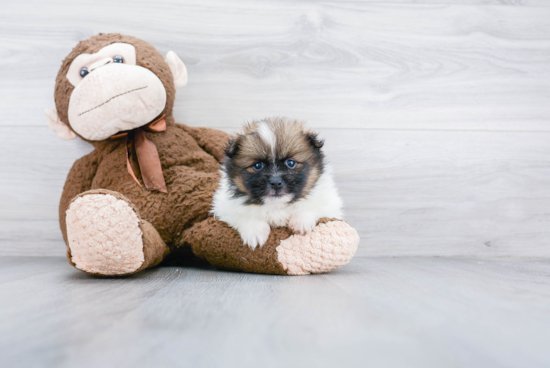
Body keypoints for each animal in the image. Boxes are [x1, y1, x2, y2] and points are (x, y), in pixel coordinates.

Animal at [212, 118, 344, 250]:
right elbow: (242, 214)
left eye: (291, 163)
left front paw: (301, 222)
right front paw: (255, 231)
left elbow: (311, 206)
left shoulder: (330, 204)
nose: (275, 183)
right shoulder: (224, 206)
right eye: (258, 165)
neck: (276, 205)